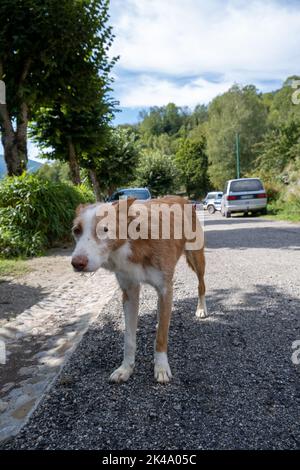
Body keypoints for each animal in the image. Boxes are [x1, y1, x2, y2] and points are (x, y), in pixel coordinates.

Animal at [71, 196, 207, 384]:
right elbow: (129, 338)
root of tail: (182, 198)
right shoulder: (130, 292)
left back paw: (201, 309)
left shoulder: (165, 290)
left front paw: (161, 367)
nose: (77, 263)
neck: (134, 241)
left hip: (196, 258)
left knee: (201, 285)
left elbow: (161, 336)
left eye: (105, 229)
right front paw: (126, 368)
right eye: (76, 230)